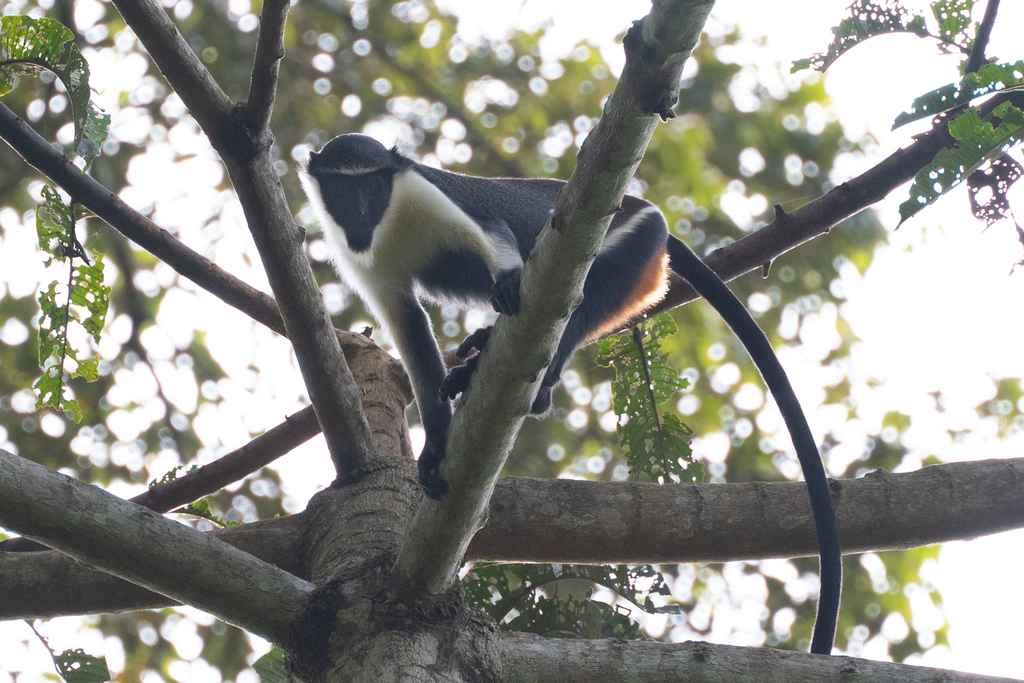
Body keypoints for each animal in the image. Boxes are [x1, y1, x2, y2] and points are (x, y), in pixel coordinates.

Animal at [299, 133, 841, 654]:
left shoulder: (427, 195)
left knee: (577, 296)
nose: (361, 215)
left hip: (635, 240)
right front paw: (434, 446)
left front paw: (507, 281)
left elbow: (493, 231)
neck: (389, 223)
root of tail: (645, 210)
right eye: (344, 190)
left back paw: (522, 384)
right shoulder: (370, 267)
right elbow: (410, 327)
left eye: (372, 186)